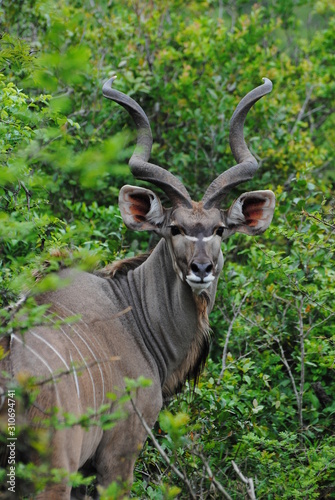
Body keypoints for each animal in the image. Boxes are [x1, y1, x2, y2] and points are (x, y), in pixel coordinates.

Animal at [0, 77, 276, 496]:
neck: (133, 316)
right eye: (175, 228)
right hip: (55, 470)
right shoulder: (119, 450)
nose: (201, 268)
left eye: (219, 230)